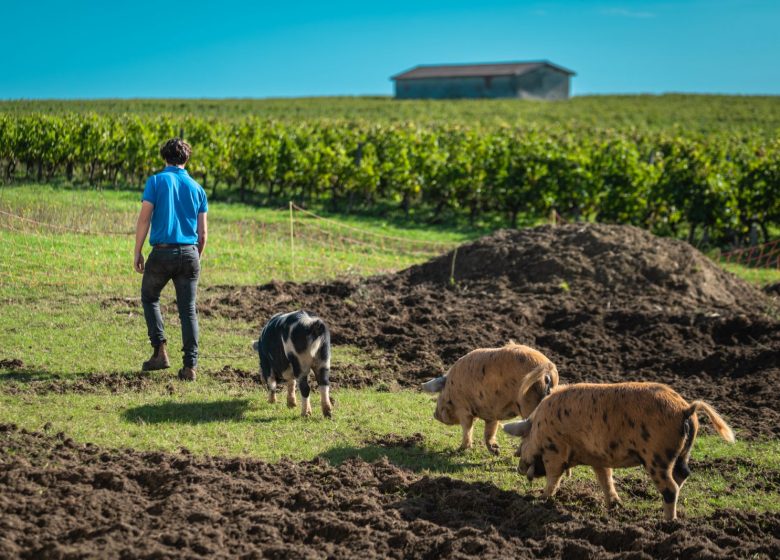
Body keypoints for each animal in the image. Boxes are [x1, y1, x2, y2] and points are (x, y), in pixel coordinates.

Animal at [424, 344, 556, 458]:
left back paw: (518, 454)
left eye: (440, 394)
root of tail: (546, 369)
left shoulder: (464, 409)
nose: (435, 414)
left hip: (529, 404)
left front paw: (460, 450)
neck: (451, 389)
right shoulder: (492, 413)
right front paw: (496, 451)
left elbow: (467, 428)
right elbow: (490, 431)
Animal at [502, 372, 736, 520]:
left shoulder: (555, 451)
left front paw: (540, 499)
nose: (518, 468)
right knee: (683, 475)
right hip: (682, 453)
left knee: (670, 487)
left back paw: (668, 523)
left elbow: (554, 477)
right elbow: (605, 478)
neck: (539, 427)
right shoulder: (598, 457)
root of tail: (685, 409)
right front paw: (614, 505)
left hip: (656, 456)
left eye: (522, 442)